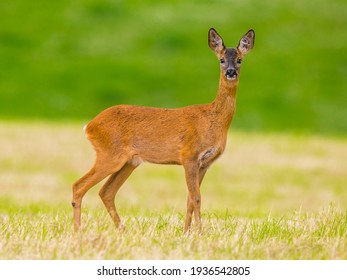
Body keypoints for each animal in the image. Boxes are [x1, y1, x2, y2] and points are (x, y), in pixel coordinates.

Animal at [72, 27, 256, 234]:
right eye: (221, 60)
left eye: (239, 59)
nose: (231, 72)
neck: (213, 120)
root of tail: (90, 125)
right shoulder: (189, 156)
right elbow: (196, 197)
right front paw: (199, 233)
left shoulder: (204, 163)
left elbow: (189, 199)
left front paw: (186, 232)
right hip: (110, 154)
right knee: (78, 186)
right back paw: (78, 231)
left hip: (129, 161)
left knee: (106, 192)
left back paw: (122, 230)